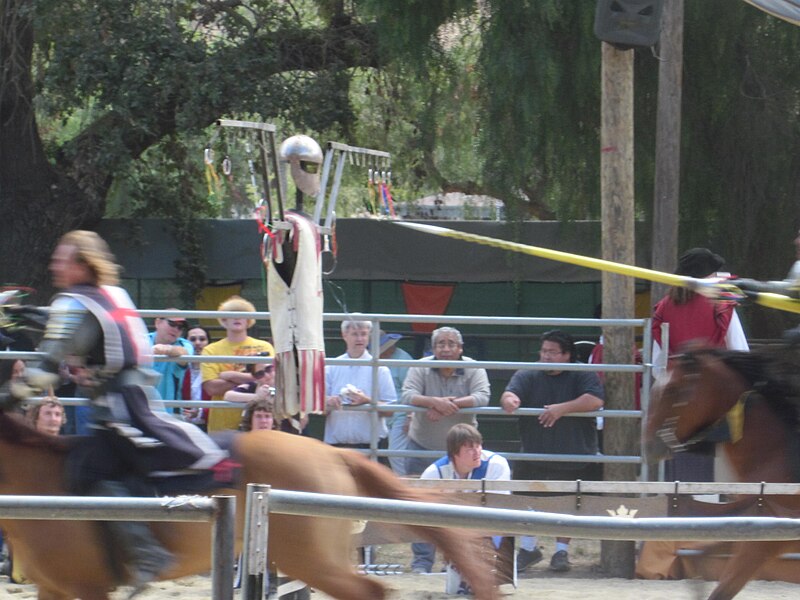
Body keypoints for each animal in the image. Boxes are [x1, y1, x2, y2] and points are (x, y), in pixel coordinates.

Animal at [648, 346, 800, 600]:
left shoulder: (763, 544)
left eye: (672, 389)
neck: (774, 455)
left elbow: (722, 589)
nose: (648, 443)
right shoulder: (749, 531)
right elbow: (702, 556)